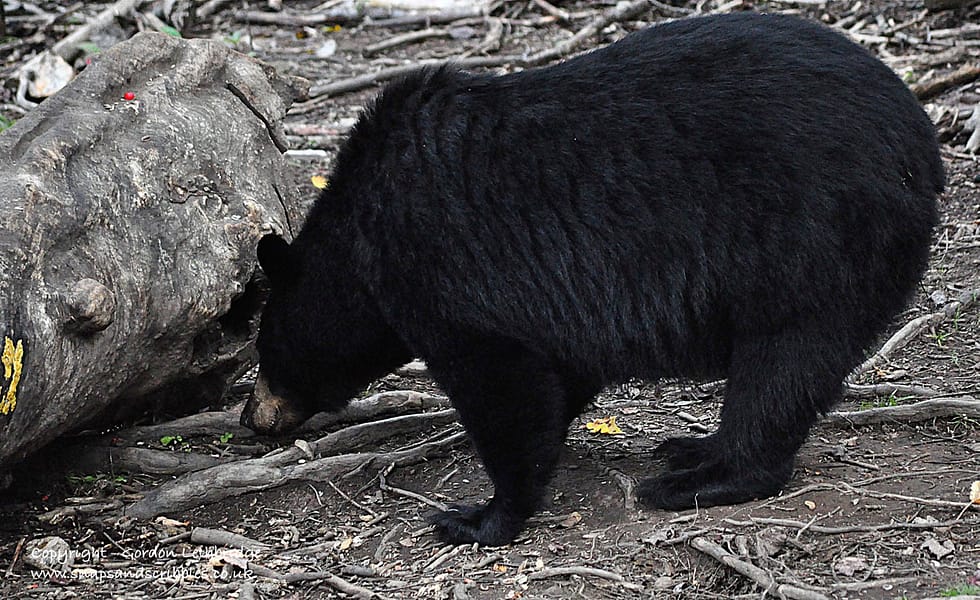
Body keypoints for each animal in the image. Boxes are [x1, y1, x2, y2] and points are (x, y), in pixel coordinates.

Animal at [241, 12, 943, 546]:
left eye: (263, 353)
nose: (251, 417)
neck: (361, 240)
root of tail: (923, 144)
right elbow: (558, 374)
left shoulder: (446, 275)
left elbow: (502, 385)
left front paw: (480, 516)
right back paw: (692, 449)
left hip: (812, 240)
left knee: (783, 363)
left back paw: (700, 479)